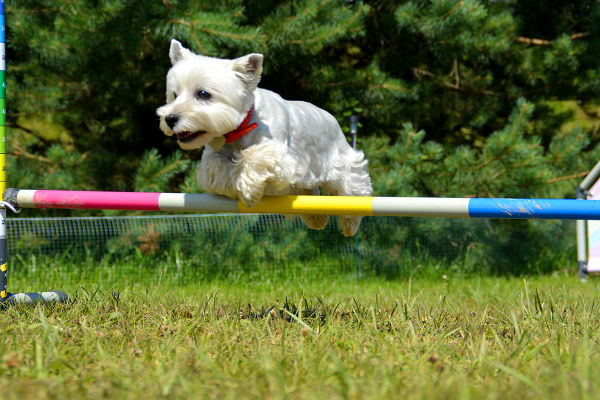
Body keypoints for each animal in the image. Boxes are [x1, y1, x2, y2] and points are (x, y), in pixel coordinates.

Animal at [156, 40, 370, 236]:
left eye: (203, 94)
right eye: (174, 94)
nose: (170, 118)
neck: (240, 128)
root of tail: (331, 117)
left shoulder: (279, 155)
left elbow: (254, 156)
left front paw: (249, 190)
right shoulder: (213, 158)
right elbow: (217, 167)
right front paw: (233, 183)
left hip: (341, 164)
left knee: (354, 189)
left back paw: (349, 223)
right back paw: (316, 218)